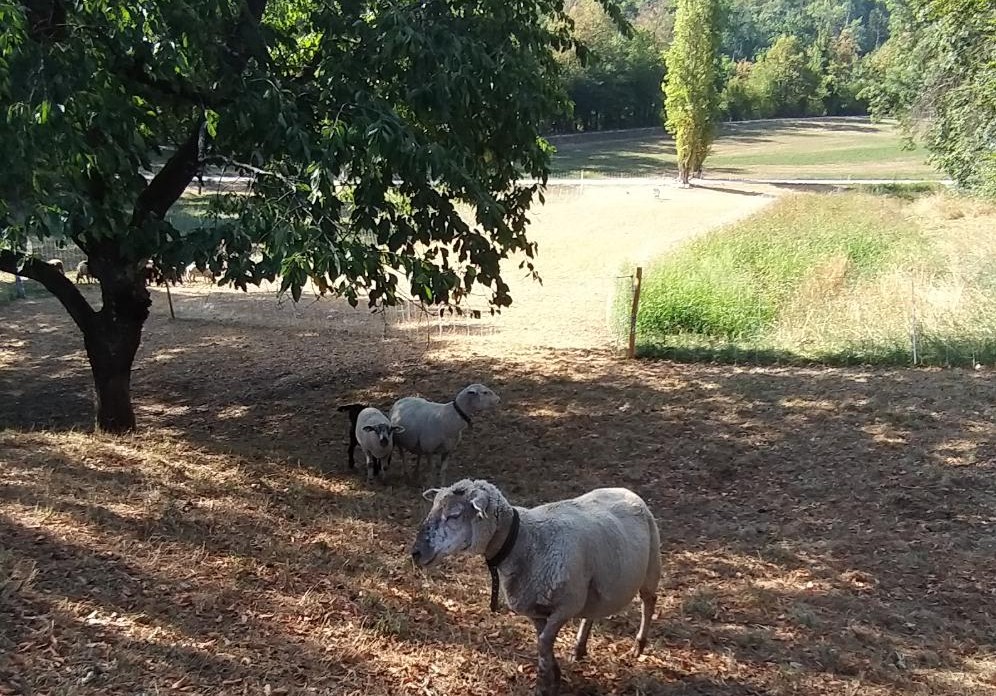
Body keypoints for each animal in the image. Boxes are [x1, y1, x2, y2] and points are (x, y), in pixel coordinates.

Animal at [410, 479, 660, 696]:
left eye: (454, 515)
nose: (416, 553)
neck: (525, 539)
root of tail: (625, 490)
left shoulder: (566, 606)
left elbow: (543, 643)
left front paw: (544, 685)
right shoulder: (536, 609)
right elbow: (543, 644)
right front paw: (554, 675)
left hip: (651, 566)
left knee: (649, 602)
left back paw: (638, 646)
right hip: (593, 586)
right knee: (591, 614)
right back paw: (579, 648)